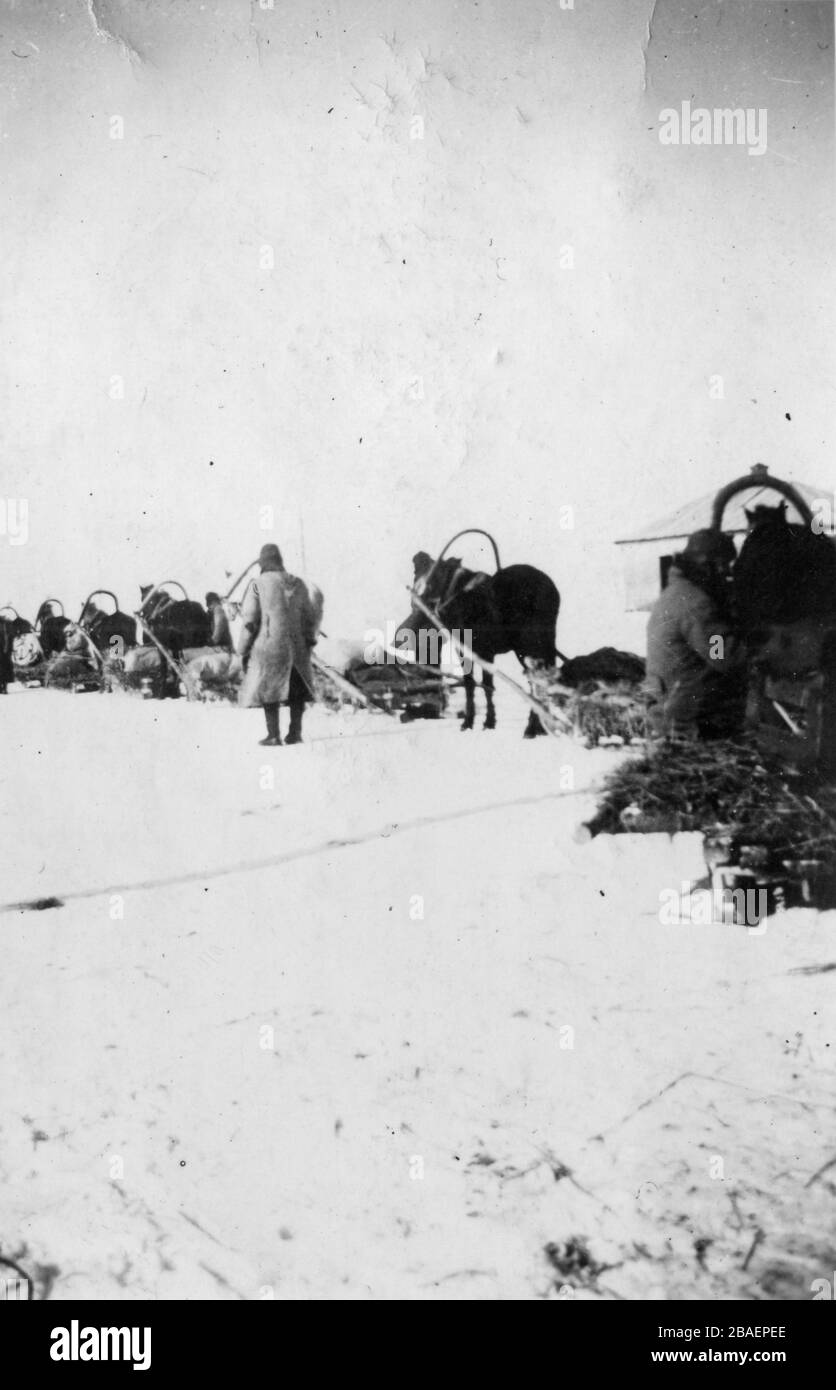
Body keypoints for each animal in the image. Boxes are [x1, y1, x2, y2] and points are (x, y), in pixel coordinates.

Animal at [397, 547, 561, 739]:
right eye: (417, 572)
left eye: (438, 575)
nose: (418, 600)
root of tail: (551, 589)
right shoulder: (469, 652)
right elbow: (474, 684)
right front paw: (474, 722)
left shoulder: (481, 652)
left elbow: (483, 685)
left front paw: (484, 722)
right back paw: (541, 726)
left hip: (529, 646)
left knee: (536, 681)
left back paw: (532, 728)